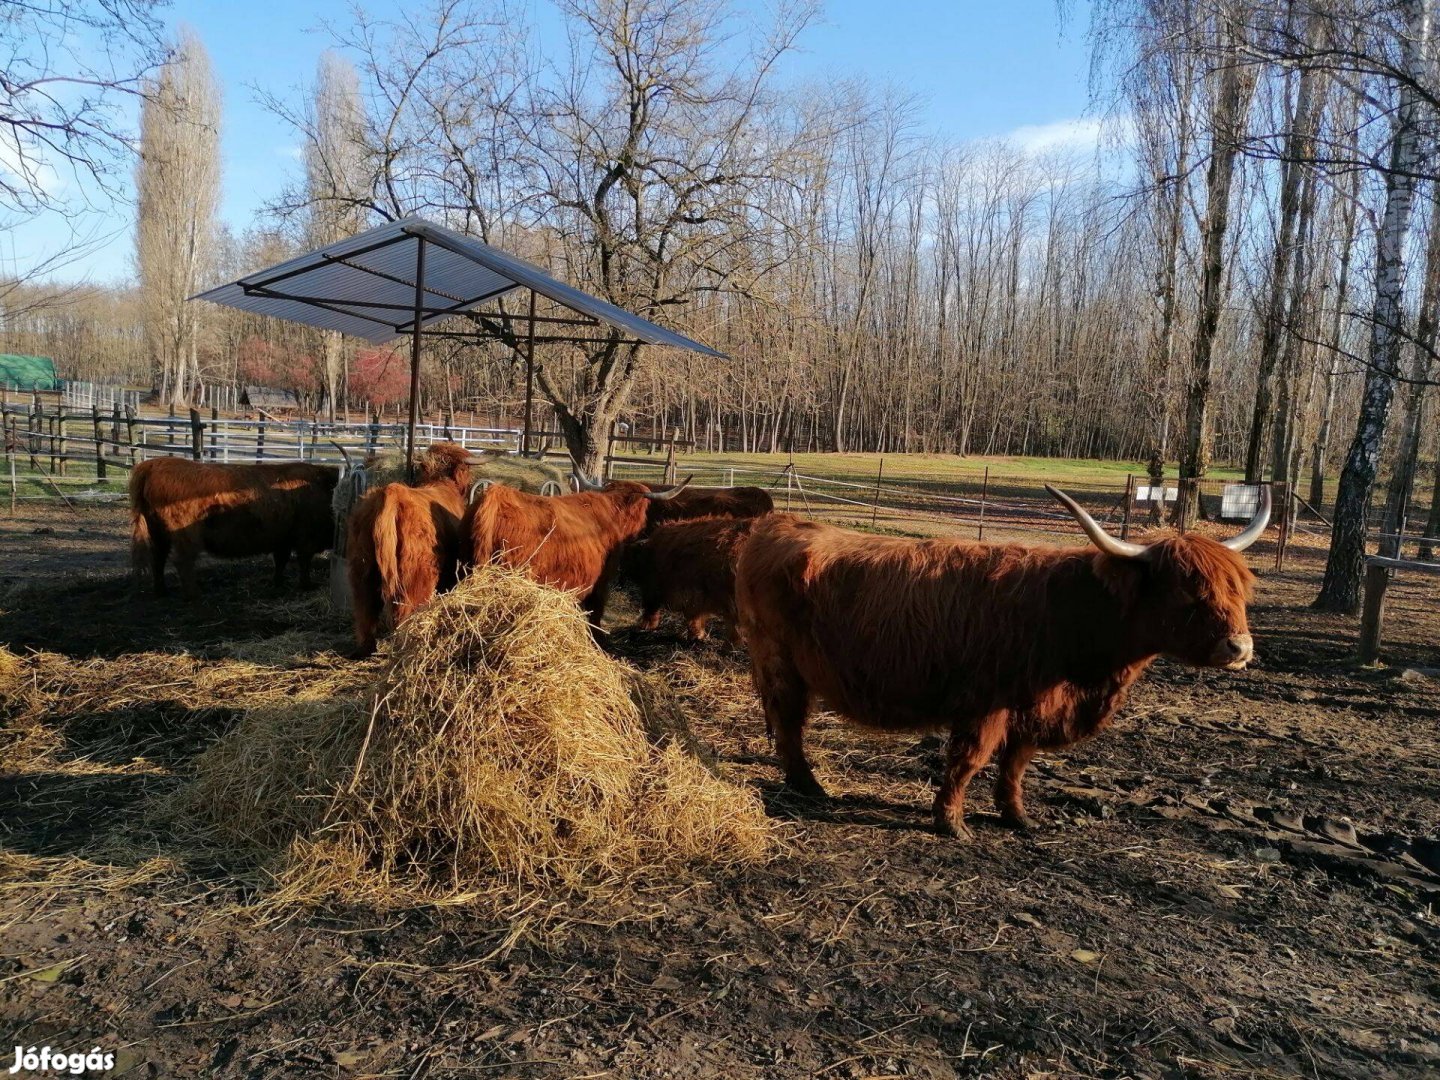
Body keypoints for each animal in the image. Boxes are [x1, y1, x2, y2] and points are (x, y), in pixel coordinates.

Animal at [128, 452, 339, 596]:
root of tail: (154, 464)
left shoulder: (283, 539)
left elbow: (281, 560)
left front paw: (278, 582)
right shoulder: (306, 537)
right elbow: (304, 561)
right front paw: (306, 585)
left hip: (157, 532)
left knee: (158, 558)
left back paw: (161, 590)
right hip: (186, 535)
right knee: (183, 561)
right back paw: (194, 594)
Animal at [342, 440, 472, 659]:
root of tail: (391, 493)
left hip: (362, 570)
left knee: (364, 609)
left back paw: (367, 650)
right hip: (416, 577)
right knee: (405, 611)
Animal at [737, 486, 1267, 840]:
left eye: (1238, 587)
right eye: (1186, 593)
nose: (1239, 648)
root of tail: (779, 525)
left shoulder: (1036, 706)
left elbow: (1016, 762)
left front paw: (1017, 816)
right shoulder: (986, 703)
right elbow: (969, 760)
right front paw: (952, 823)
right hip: (780, 662)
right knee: (789, 723)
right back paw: (809, 787)